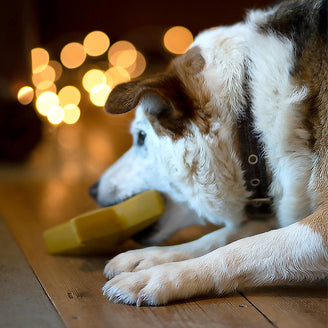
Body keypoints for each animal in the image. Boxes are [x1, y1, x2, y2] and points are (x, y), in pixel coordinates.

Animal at [89, 0, 328, 304]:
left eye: (141, 137)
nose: (91, 190)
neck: (250, 118)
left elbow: (243, 248)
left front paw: (162, 276)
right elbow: (225, 235)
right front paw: (152, 258)